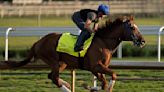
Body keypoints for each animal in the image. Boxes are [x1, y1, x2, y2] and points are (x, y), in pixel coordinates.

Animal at [0, 15, 145, 91]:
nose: (142, 41)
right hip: (53, 60)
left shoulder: (95, 68)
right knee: (54, 77)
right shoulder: (95, 66)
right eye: (132, 27)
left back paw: (67, 84)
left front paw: (93, 87)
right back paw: (67, 88)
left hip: (62, 63)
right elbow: (113, 75)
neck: (103, 42)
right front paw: (101, 87)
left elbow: (103, 81)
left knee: (51, 76)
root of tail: (38, 42)